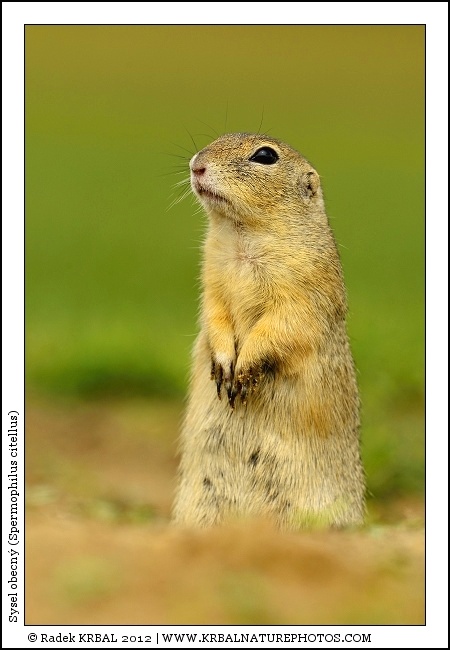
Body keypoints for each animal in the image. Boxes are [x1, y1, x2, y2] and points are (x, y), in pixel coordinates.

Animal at [172, 133, 365, 529]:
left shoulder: (301, 290)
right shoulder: (211, 281)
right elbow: (214, 316)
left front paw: (244, 371)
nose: (196, 164)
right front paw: (223, 366)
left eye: (265, 156)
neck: (242, 238)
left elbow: (281, 326)